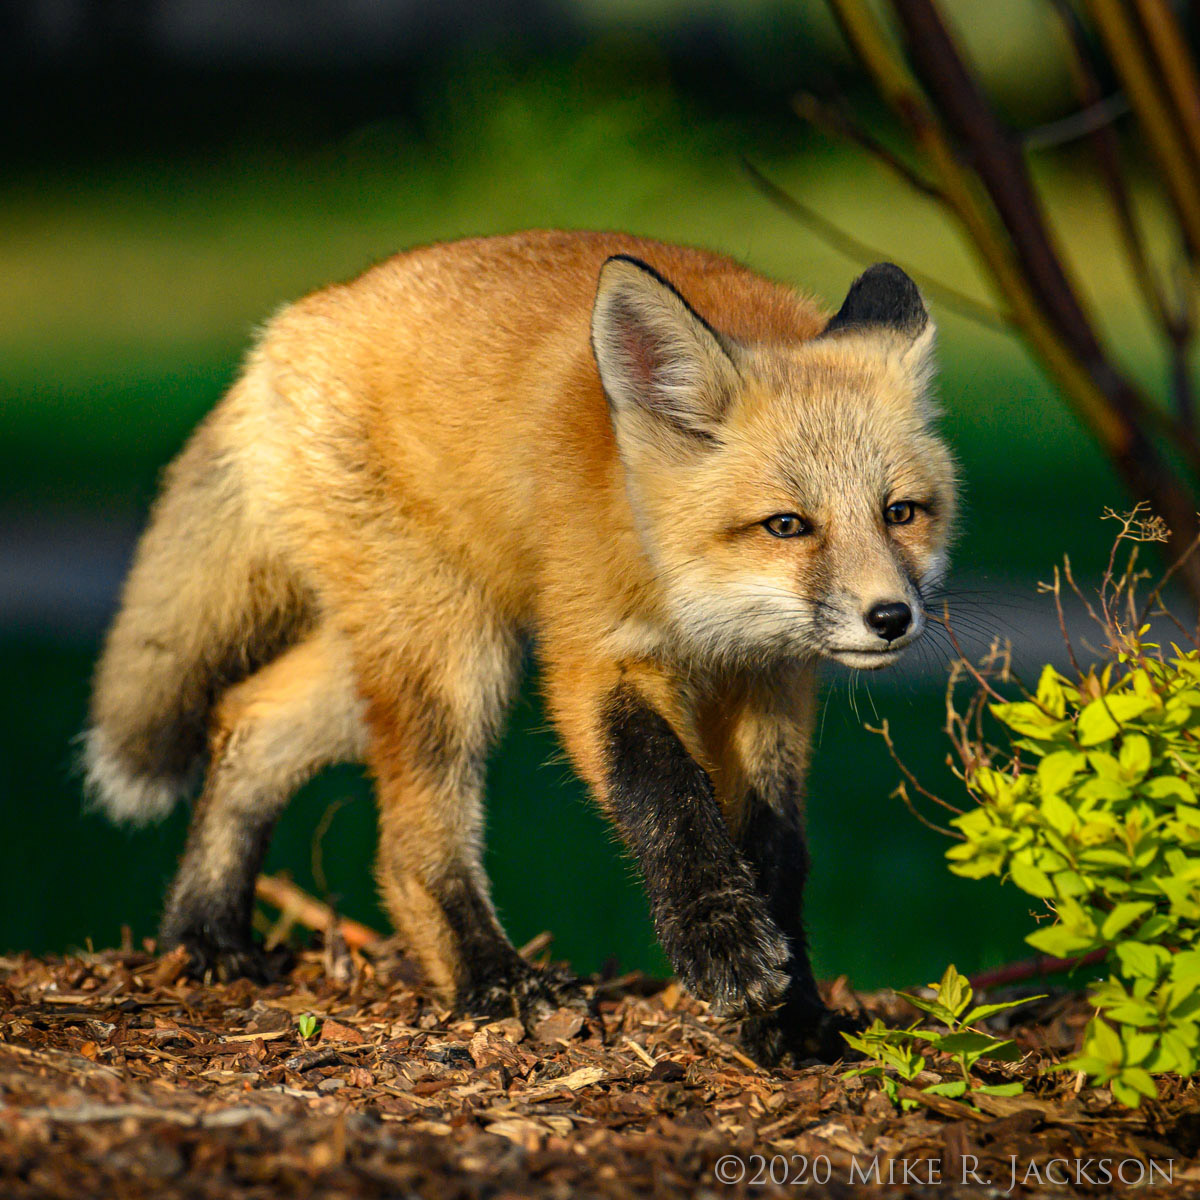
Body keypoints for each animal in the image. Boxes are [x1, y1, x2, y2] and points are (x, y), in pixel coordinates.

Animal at [85, 230, 955, 1064]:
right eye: (787, 524)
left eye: (901, 513)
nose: (891, 617)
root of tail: (291, 323)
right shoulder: (593, 658)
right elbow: (666, 792)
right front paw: (723, 944)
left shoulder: (769, 682)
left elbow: (779, 850)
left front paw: (794, 1012)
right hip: (454, 656)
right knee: (405, 846)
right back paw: (493, 979)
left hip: (395, 654)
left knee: (249, 716)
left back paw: (203, 931)